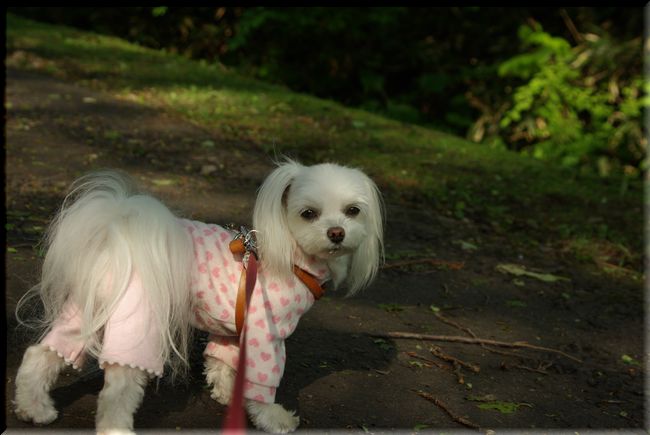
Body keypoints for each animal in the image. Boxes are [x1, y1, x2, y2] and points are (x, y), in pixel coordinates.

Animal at [13, 159, 384, 434]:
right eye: (308, 214)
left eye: (353, 211)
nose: (336, 233)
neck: (290, 255)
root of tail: (117, 235)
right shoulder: (266, 334)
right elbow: (262, 383)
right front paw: (273, 418)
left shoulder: (231, 330)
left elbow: (221, 363)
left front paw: (226, 395)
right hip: (139, 320)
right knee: (118, 387)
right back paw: (114, 427)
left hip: (85, 310)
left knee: (42, 354)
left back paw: (34, 409)